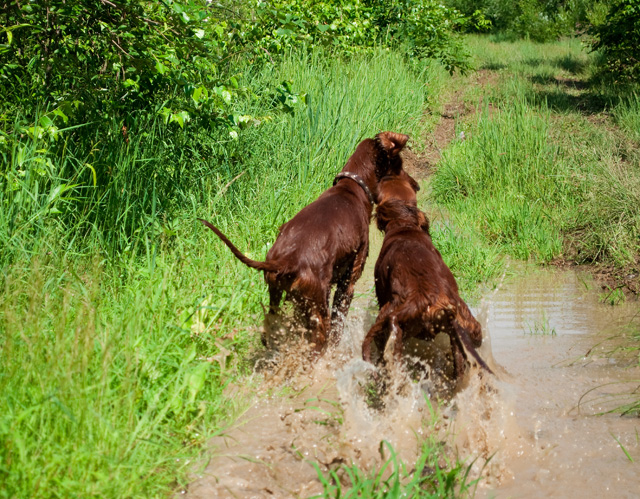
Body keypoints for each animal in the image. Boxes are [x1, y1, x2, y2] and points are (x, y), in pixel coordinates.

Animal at [199, 131, 410, 354]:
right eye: (399, 164)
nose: (413, 183)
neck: (351, 187)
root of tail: (286, 260)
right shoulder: (348, 282)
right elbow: (338, 325)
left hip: (278, 295)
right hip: (317, 308)